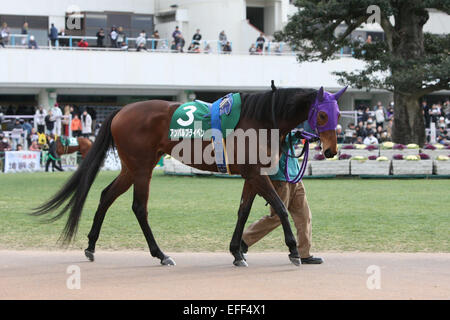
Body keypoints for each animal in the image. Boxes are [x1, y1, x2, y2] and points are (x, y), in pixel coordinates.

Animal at [34, 87, 344, 268]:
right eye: (323, 115)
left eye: (338, 112)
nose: (331, 150)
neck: (260, 119)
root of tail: (121, 111)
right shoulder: (256, 173)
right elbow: (279, 208)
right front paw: (293, 250)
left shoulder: (250, 174)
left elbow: (243, 211)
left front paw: (237, 251)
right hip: (142, 168)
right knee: (139, 207)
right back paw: (161, 254)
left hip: (132, 168)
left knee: (106, 196)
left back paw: (90, 246)